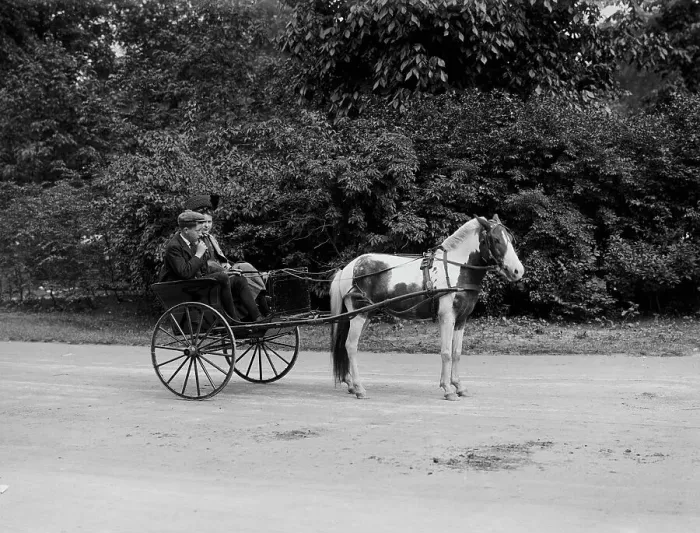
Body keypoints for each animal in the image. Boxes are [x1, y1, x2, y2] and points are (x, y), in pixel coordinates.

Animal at [329, 215, 524, 401]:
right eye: (496, 239)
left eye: (510, 239)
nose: (518, 271)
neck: (456, 268)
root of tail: (348, 268)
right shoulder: (447, 317)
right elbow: (446, 352)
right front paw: (448, 390)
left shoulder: (461, 319)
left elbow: (457, 352)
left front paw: (459, 387)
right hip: (359, 315)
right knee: (351, 346)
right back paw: (359, 389)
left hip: (364, 315)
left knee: (347, 346)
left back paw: (351, 384)